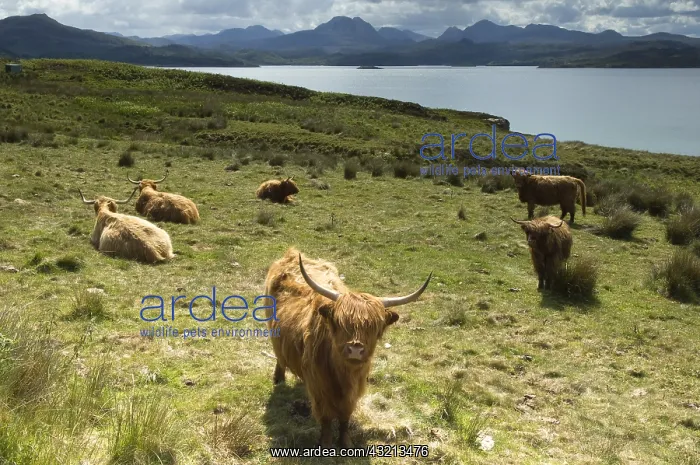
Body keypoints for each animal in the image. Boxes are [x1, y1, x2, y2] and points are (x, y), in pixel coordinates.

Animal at [263, 247, 431, 448]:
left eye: (374, 326)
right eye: (340, 323)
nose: (355, 350)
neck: (343, 375)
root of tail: (291, 254)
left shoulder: (354, 391)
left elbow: (345, 416)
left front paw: (346, 442)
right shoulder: (319, 387)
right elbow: (326, 418)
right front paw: (326, 444)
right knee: (279, 357)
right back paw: (278, 379)